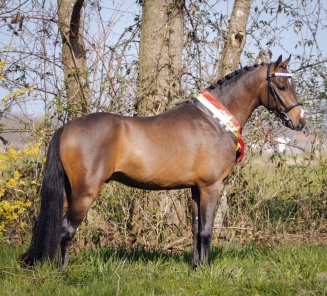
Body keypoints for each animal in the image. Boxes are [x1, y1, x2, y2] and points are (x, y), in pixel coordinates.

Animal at [21, 55, 306, 268]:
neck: (214, 121)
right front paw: (206, 269)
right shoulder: (211, 187)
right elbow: (207, 230)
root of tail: (67, 127)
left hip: (70, 190)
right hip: (85, 192)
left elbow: (195, 229)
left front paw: (196, 267)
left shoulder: (196, 189)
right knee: (66, 229)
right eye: (282, 87)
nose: (300, 120)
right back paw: (62, 271)